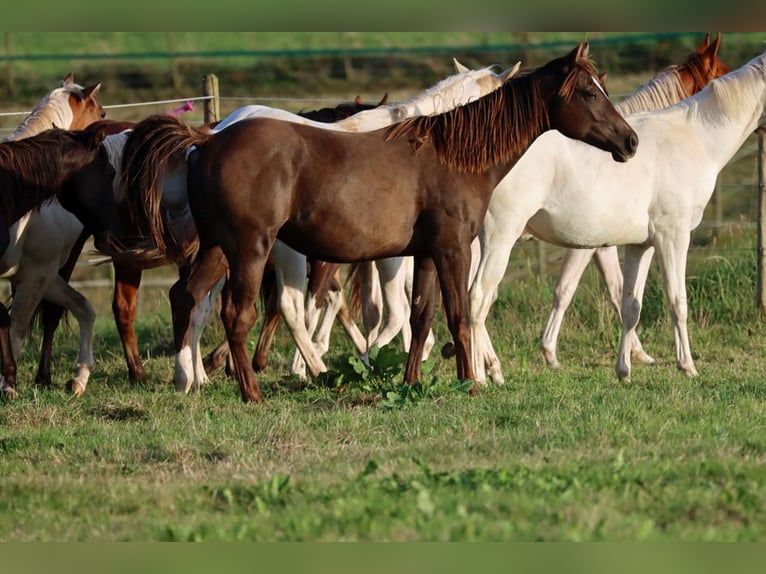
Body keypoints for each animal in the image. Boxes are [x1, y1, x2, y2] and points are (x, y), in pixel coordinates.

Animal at [0, 74, 107, 396]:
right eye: (100, 114)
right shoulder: (35, 275)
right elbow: (16, 330)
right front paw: (7, 383)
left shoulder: (40, 274)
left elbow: (82, 309)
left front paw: (79, 376)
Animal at [120, 42, 638, 403]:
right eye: (588, 92)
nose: (630, 142)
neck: (452, 155)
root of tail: (206, 140)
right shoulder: (452, 250)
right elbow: (457, 314)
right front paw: (471, 382)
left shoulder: (425, 254)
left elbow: (421, 317)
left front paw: (413, 381)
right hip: (250, 250)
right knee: (239, 313)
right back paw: (255, 390)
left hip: (217, 248)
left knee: (187, 297)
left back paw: (187, 379)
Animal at [468, 41, 765, 385]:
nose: (630, 144)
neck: (694, 138)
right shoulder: (673, 237)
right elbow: (677, 301)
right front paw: (687, 366)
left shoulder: (642, 244)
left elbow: (629, 304)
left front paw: (624, 370)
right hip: (497, 240)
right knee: (477, 298)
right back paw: (480, 375)